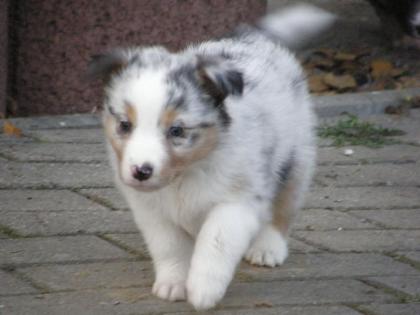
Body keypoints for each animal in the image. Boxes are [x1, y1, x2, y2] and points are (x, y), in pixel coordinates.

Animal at [88, 4, 334, 312]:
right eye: (124, 124)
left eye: (177, 130)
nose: (141, 171)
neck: (185, 174)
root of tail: (253, 38)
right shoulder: (151, 210)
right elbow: (169, 246)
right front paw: (173, 284)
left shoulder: (236, 203)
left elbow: (216, 242)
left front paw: (203, 290)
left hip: (297, 158)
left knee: (283, 207)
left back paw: (268, 248)